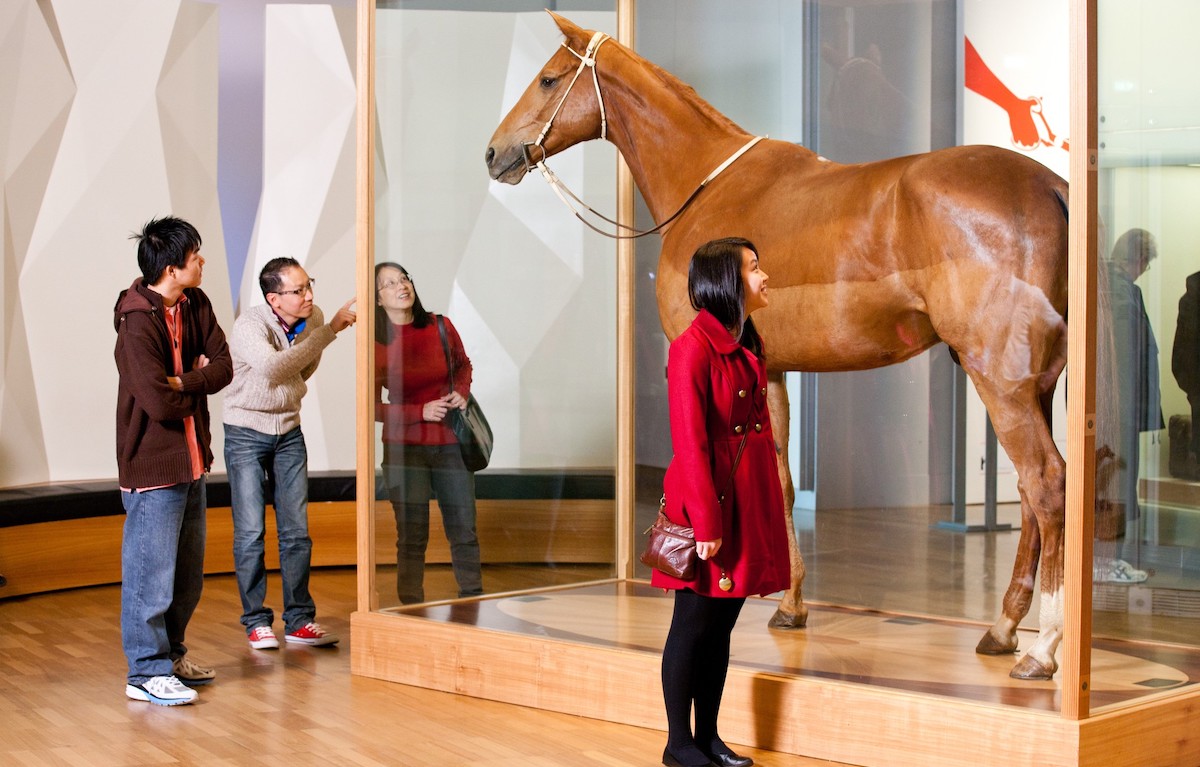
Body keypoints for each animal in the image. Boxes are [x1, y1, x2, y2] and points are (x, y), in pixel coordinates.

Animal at [484, 12, 1070, 681]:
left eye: (548, 78)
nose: (495, 153)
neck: (708, 183)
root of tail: (1049, 185)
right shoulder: (770, 372)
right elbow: (781, 480)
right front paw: (791, 604)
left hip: (1000, 378)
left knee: (1046, 484)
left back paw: (1043, 649)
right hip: (1035, 383)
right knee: (1029, 494)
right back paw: (1003, 629)